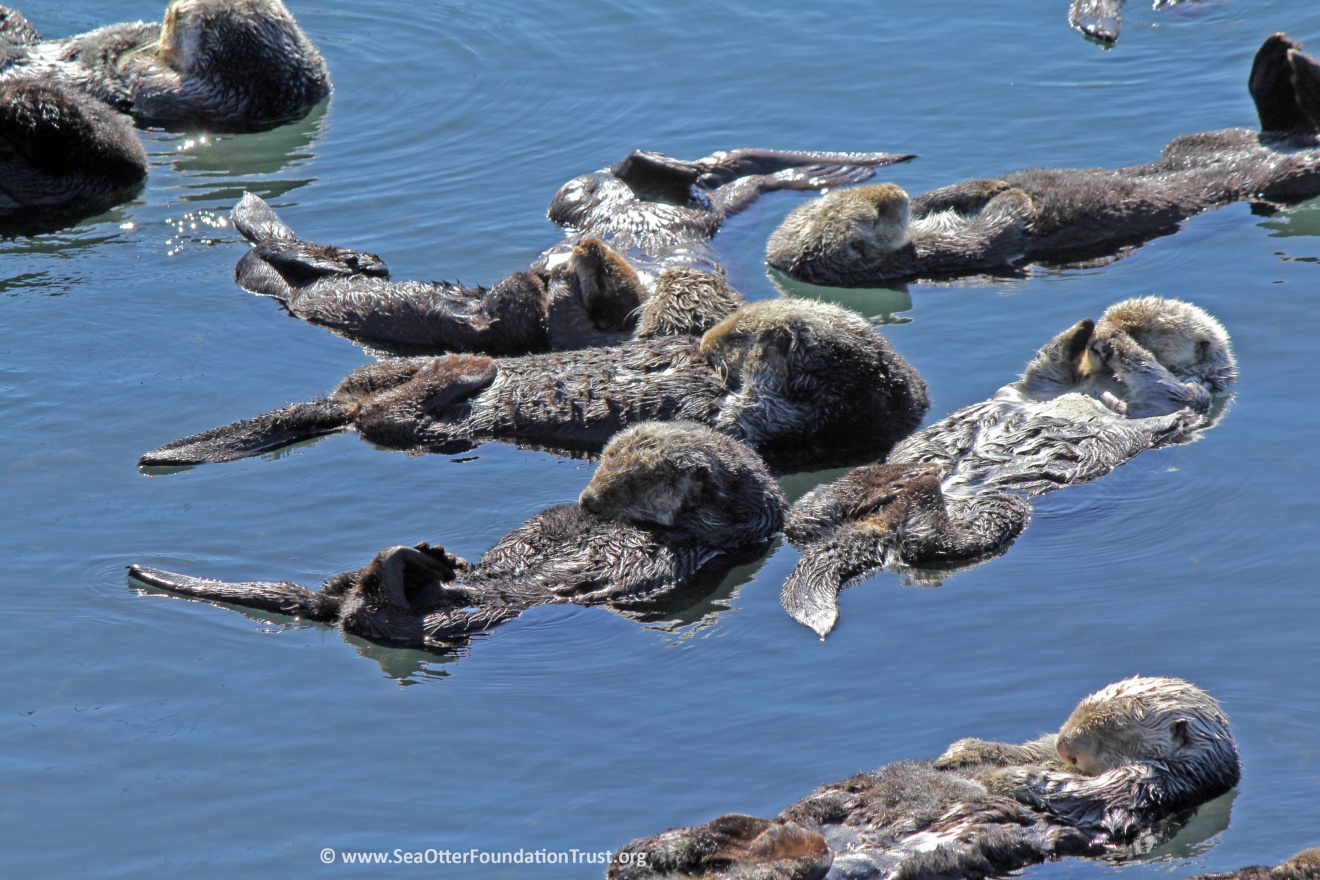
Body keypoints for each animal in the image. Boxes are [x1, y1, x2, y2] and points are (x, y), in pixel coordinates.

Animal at [129, 421, 786, 652]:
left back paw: (412, 565)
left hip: (466, 620)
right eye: (602, 464)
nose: (588, 500)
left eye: (632, 483)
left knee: (379, 620)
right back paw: (434, 557)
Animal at [226, 147, 915, 353]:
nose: (582, 253)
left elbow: (524, 308)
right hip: (592, 198)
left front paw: (555, 279)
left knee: (272, 255)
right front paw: (555, 270)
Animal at [610, 676, 1239, 880]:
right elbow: (1015, 750)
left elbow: (1079, 791)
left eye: (1112, 730)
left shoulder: (1155, 786)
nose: (1066, 744)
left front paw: (1010, 778)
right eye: (1081, 715)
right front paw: (961, 755)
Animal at [766, 33, 1320, 287]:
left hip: (1197, 141)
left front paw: (983, 185)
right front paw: (1011, 195)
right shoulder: (944, 256)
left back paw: (1281, 58)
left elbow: (952, 194)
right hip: (1284, 175)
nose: (895, 191)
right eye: (875, 213)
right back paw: (1291, 69)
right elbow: (1000, 228)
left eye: (867, 194)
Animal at [782, 297, 1233, 636]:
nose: (1103, 333)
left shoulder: (1180, 397)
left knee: (928, 544)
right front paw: (1085, 329)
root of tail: (877, 522)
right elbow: (1048, 362)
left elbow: (1160, 380)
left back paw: (919, 490)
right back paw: (896, 476)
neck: (1103, 383)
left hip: (998, 509)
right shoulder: (1045, 382)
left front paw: (1117, 341)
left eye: (1149, 331)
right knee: (803, 519)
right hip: (838, 498)